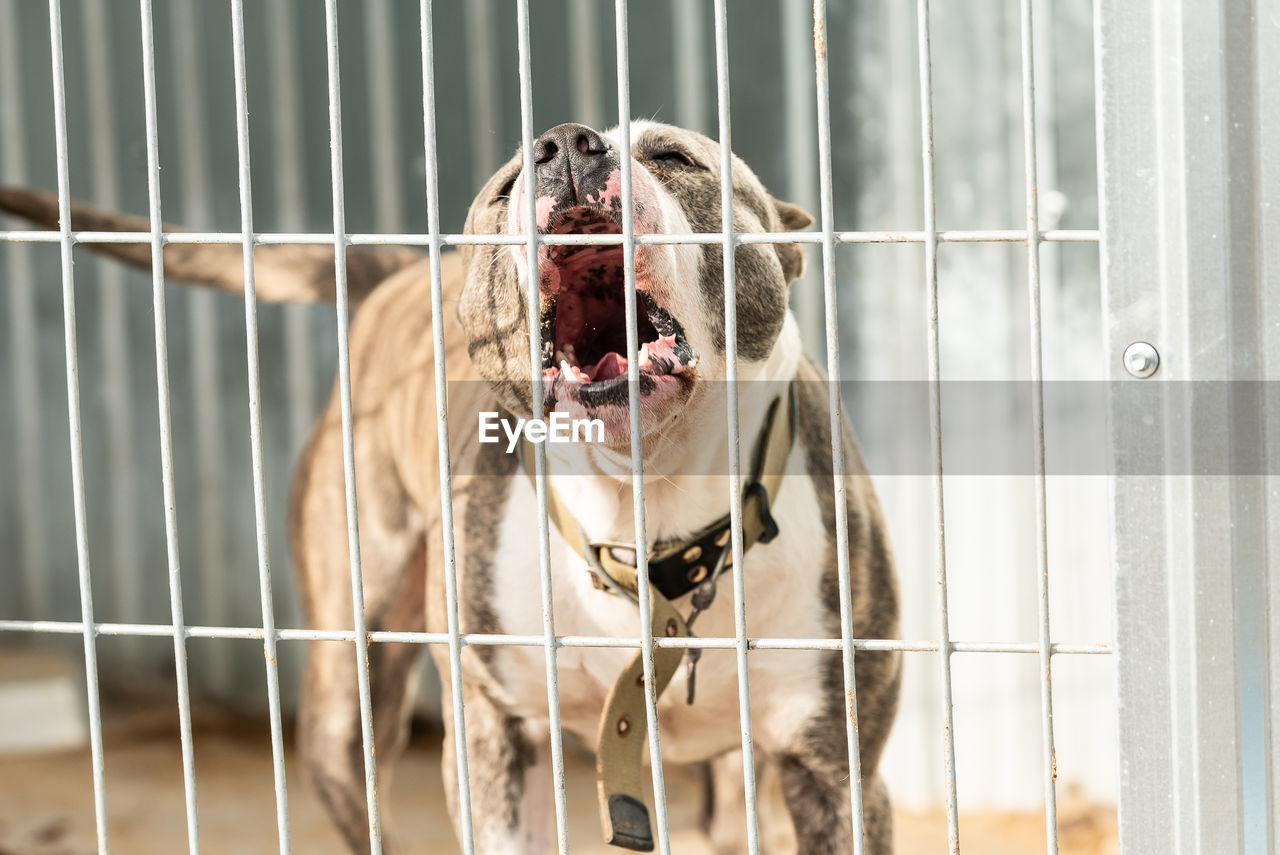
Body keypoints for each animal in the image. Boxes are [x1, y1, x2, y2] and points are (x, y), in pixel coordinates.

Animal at [0, 120, 901, 855]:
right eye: (506, 185)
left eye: (676, 159)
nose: (567, 146)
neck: (644, 508)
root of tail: (400, 275)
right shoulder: (494, 736)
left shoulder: (836, 769)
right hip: (349, 686)